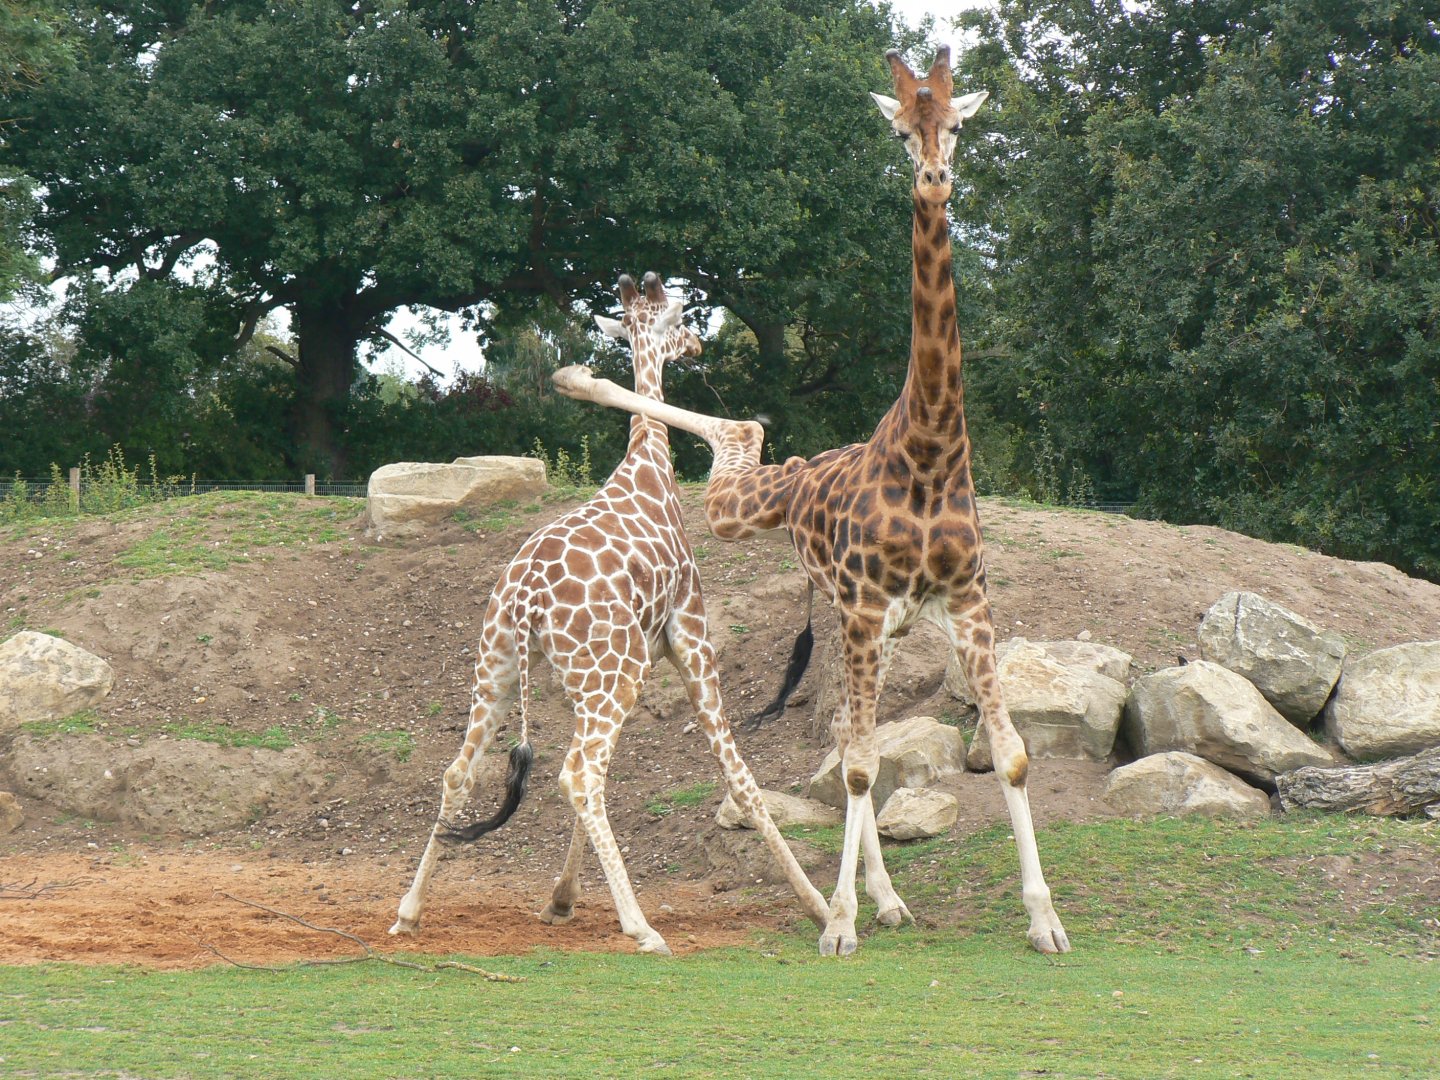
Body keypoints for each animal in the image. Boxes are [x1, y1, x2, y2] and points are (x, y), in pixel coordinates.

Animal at [390, 272, 829, 953]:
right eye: (681, 318)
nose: (698, 344)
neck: (649, 465)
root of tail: (525, 597)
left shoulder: (620, 664)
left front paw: (561, 899)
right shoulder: (688, 637)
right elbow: (740, 778)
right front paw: (820, 909)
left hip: (503, 670)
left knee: (463, 773)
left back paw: (409, 910)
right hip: (608, 674)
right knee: (578, 776)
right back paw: (642, 927)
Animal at [550, 49, 1071, 957]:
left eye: (956, 125)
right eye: (899, 131)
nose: (933, 179)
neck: (931, 448)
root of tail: (811, 468)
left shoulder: (966, 601)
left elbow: (1005, 755)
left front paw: (1044, 921)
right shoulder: (866, 609)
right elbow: (862, 767)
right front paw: (838, 925)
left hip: (883, 624)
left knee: (846, 731)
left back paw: (885, 899)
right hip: (759, 524)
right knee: (742, 431)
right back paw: (576, 375)